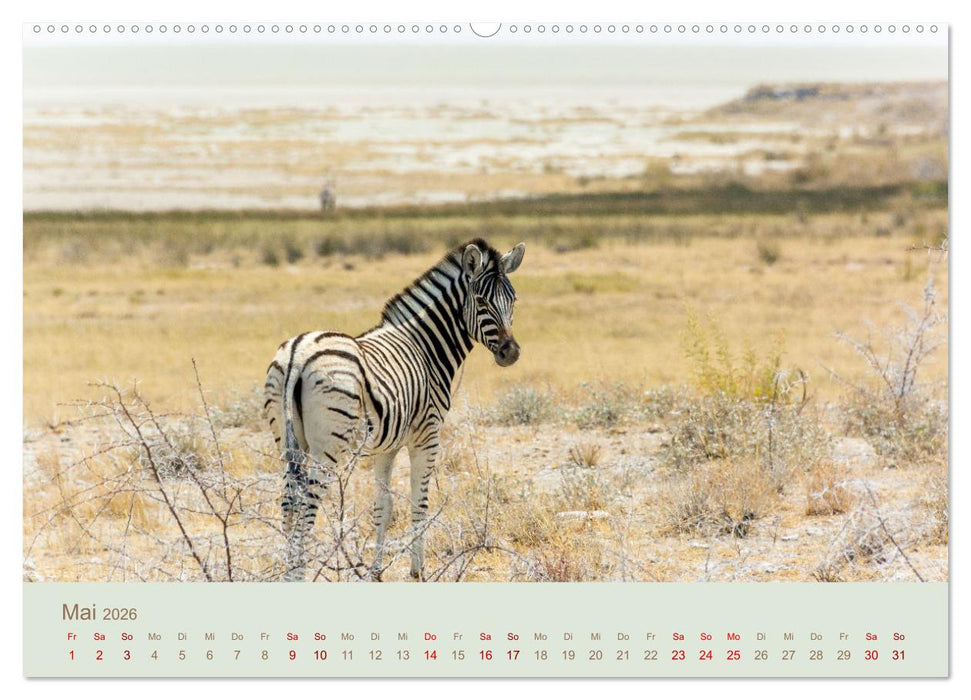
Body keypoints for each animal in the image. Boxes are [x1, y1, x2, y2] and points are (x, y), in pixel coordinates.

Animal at [263, 238, 525, 581]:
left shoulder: (385, 446)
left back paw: (288, 571)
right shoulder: (426, 436)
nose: (511, 353)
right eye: (481, 301)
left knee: (288, 505)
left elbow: (383, 507)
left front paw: (375, 572)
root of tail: (298, 353)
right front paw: (418, 571)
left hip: (288, 443)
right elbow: (419, 503)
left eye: (513, 299)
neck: (426, 347)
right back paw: (298, 575)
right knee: (306, 507)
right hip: (328, 447)